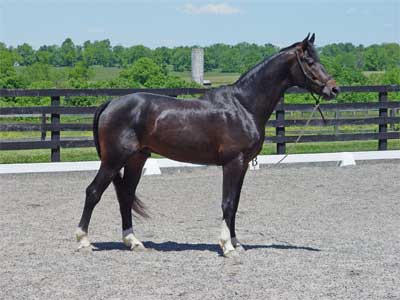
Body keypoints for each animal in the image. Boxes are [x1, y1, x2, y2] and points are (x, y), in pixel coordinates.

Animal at [75, 34, 338, 256]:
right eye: (309, 61)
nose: (334, 88)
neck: (243, 105)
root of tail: (111, 103)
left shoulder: (243, 165)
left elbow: (235, 203)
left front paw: (236, 243)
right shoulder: (233, 163)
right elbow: (228, 203)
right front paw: (227, 247)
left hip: (136, 160)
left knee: (126, 196)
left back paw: (134, 242)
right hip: (113, 160)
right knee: (93, 192)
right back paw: (84, 241)